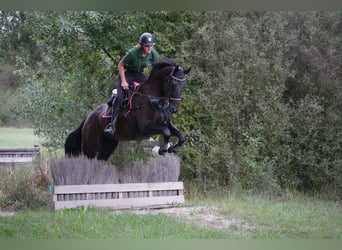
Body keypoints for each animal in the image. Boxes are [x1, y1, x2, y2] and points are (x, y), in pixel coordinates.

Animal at [63, 58, 191, 160]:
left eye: (184, 85)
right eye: (173, 83)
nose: (174, 108)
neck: (153, 98)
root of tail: (89, 117)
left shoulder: (165, 123)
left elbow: (181, 136)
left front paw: (172, 149)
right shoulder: (145, 128)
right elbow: (167, 132)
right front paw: (162, 149)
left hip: (109, 144)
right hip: (91, 145)